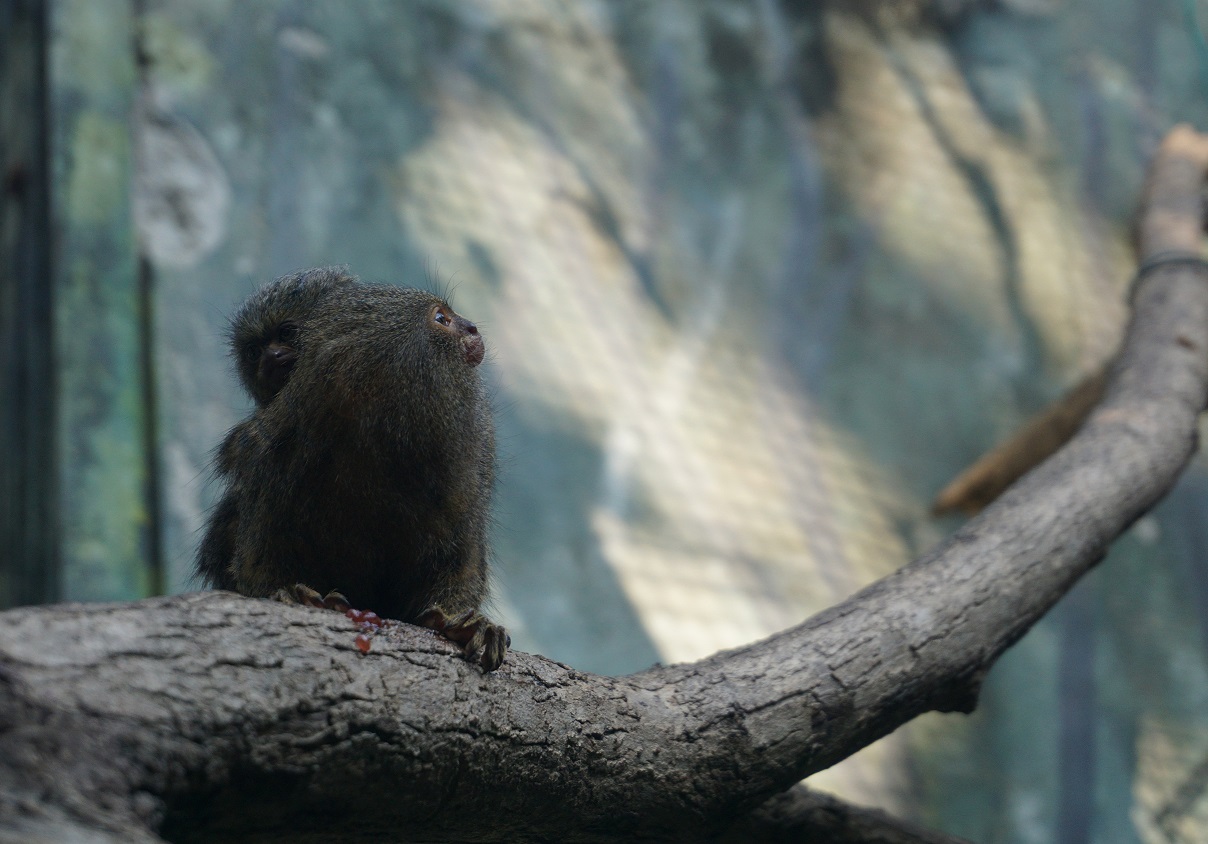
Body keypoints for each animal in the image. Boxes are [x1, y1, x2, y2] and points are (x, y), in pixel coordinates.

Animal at [195, 266, 507, 671]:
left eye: (288, 334)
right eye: (442, 319)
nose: (470, 327)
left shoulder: (467, 471)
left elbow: (459, 562)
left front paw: (464, 625)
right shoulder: (272, 455)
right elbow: (256, 561)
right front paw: (289, 592)